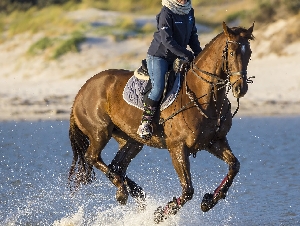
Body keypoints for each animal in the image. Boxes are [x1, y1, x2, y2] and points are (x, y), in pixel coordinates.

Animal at [68, 22, 255, 223]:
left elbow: (234, 166)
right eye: (232, 53)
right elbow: (188, 190)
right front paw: (160, 213)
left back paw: (134, 193)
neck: (203, 96)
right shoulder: (177, 148)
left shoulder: (215, 142)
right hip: (99, 132)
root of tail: (81, 90)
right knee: (92, 157)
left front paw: (209, 201)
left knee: (116, 166)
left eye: (249, 53)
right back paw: (123, 191)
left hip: (131, 141)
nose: (240, 88)